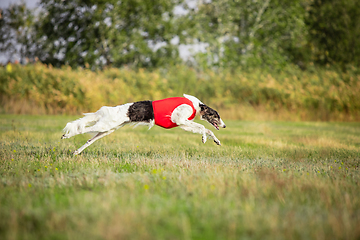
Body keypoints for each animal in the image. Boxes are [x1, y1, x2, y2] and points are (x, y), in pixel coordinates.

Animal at [61, 94, 225, 156]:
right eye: (216, 116)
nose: (224, 126)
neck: (196, 105)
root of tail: (109, 109)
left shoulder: (184, 124)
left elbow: (209, 130)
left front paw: (217, 141)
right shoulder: (180, 120)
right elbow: (203, 128)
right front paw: (203, 139)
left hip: (107, 130)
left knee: (88, 140)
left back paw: (76, 152)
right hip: (104, 126)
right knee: (81, 129)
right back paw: (66, 136)